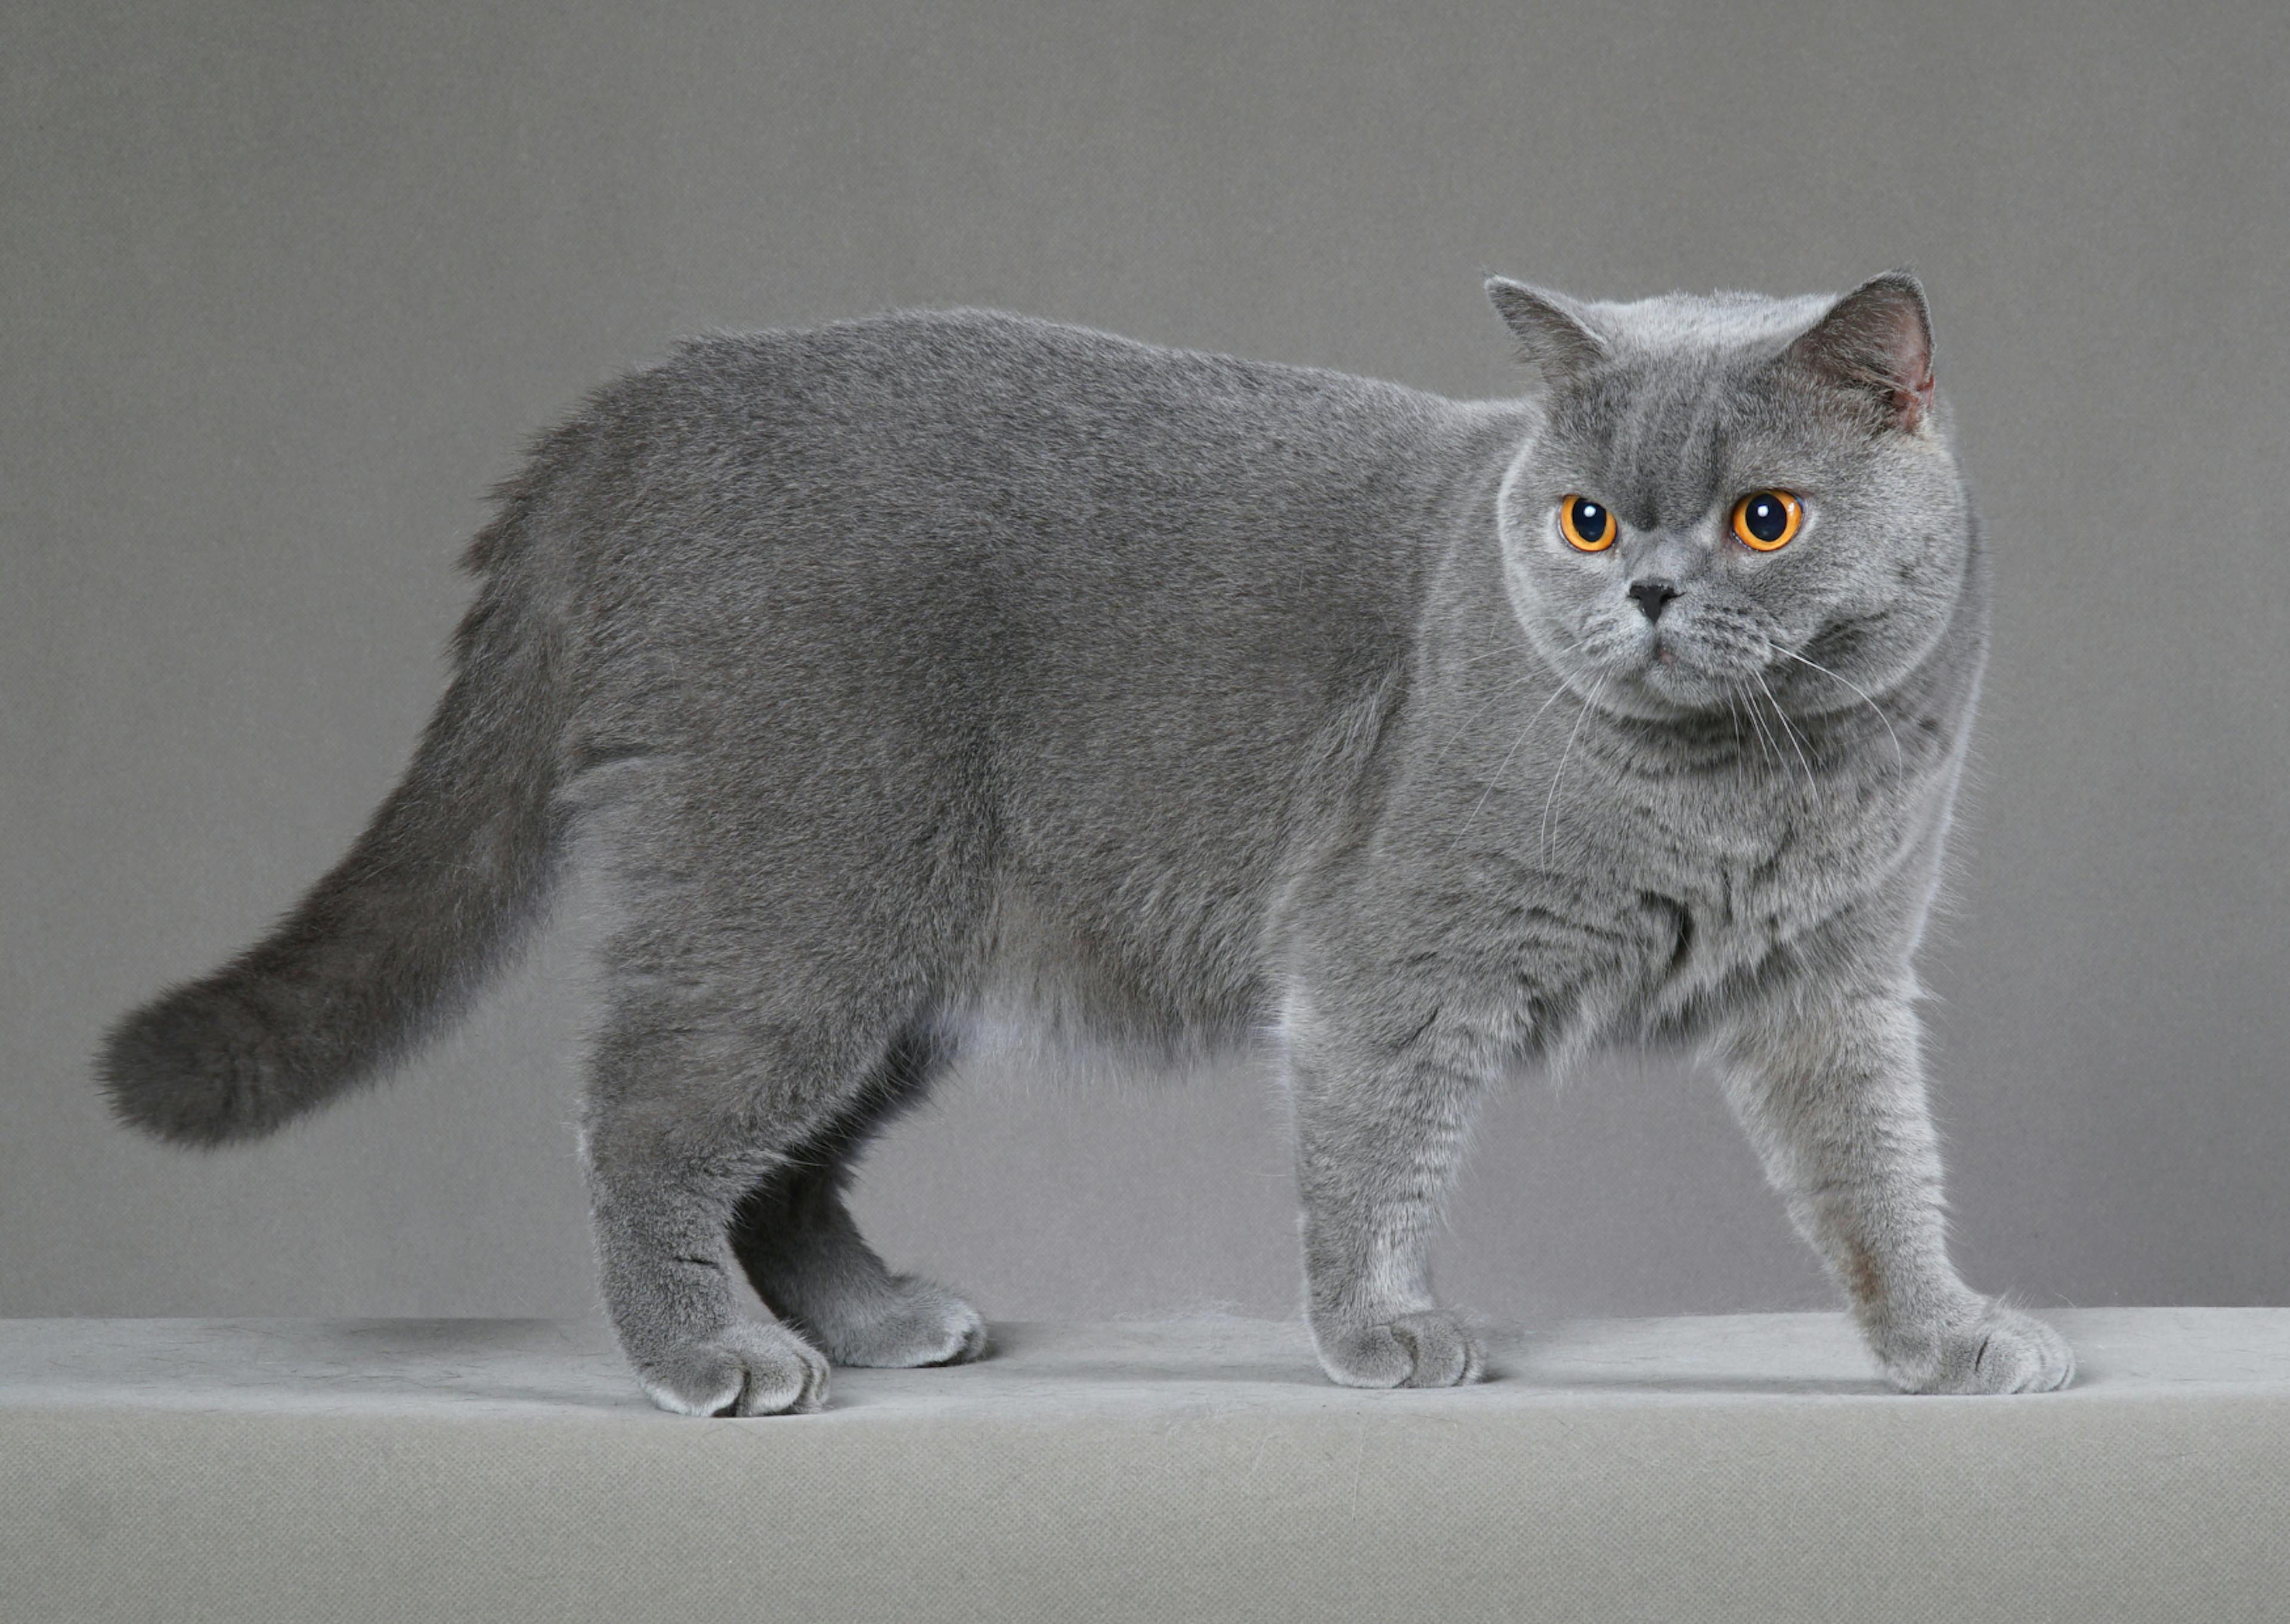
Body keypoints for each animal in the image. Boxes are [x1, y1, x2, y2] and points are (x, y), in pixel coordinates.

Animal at [103, 265, 2079, 1402]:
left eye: (1764, 517)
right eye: (1584, 520)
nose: (1649, 591)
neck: (1748, 784)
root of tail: (639, 410)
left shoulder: (1833, 986)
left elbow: (1876, 1172)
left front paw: (1947, 1337)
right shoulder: (1397, 958)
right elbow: (1383, 1148)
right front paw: (1383, 1335)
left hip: (902, 960)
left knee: (782, 1162)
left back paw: (873, 1324)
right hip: (806, 894)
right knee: (644, 1115)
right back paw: (715, 1354)